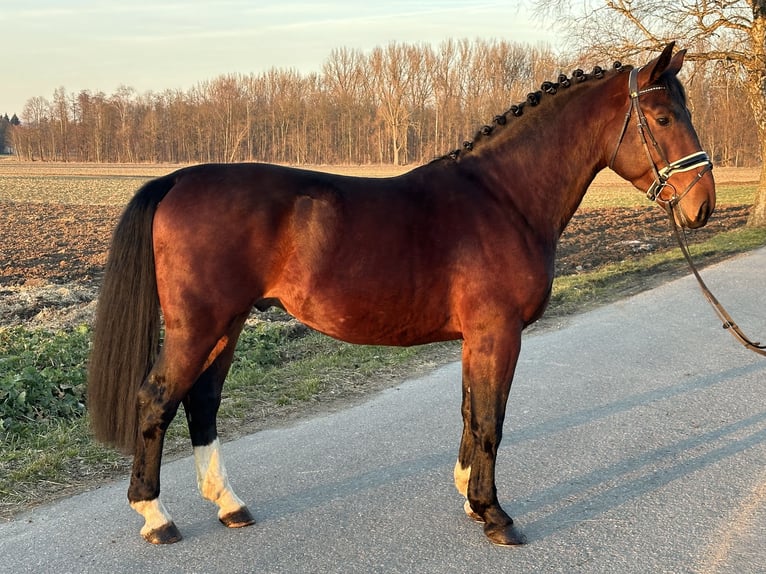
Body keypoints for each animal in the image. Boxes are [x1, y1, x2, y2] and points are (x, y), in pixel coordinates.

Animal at [87, 44, 716, 548]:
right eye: (663, 116)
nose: (702, 204)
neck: (503, 198)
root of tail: (177, 179)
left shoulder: (477, 338)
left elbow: (470, 412)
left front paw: (469, 498)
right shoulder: (498, 334)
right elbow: (491, 420)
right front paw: (495, 515)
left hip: (229, 324)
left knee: (202, 402)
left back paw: (229, 505)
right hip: (199, 326)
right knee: (155, 400)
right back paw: (155, 516)